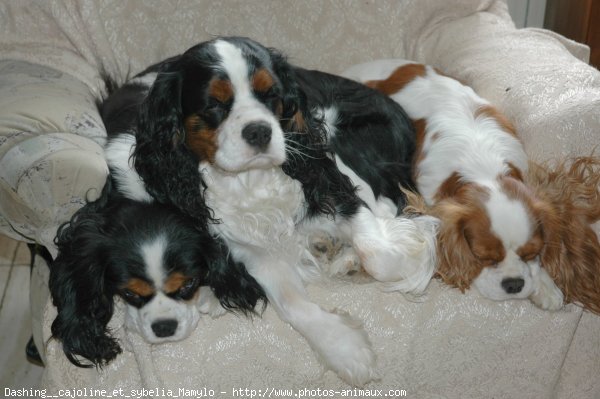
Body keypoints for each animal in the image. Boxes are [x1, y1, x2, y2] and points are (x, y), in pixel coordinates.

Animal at [99, 36, 436, 384]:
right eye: (214, 104)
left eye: (271, 94)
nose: (259, 130)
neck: (251, 180)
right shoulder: (247, 248)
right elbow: (292, 304)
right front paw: (344, 349)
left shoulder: (329, 182)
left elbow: (380, 252)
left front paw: (412, 257)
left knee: (383, 201)